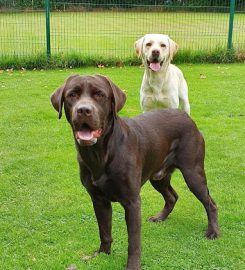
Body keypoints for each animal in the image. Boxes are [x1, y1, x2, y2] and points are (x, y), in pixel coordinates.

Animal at [50, 75, 219, 270]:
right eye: (72, 95)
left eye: (100, 94)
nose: (84, 110)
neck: (100, 154)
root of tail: (186, 116)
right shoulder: (98, 200)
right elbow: (104, 231)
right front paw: (102, 254)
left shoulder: (132, 202)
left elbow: (134, 241)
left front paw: (132, 265)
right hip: (158, 176)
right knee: (172, 196)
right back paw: (160, 217)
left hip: (193, 173)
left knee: (210, 203)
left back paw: (213, 232)